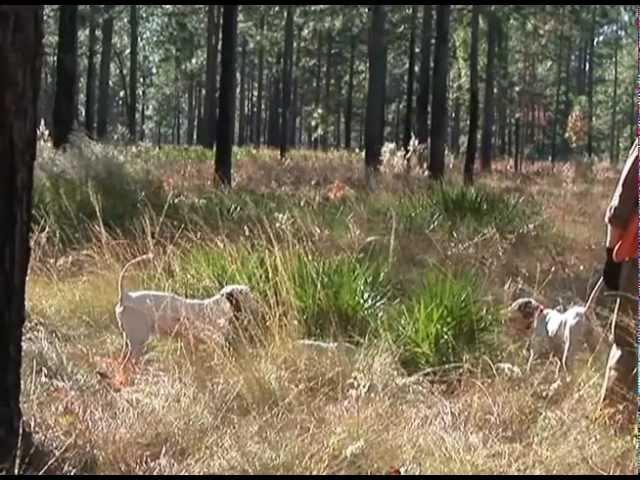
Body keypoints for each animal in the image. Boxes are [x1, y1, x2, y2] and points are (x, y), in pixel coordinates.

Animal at [115, 253, 258, 362]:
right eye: (246, 294)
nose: (257, 304)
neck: (219, 306)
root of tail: (126, 297)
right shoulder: (215, 339)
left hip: (129, 342)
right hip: (137, 342)